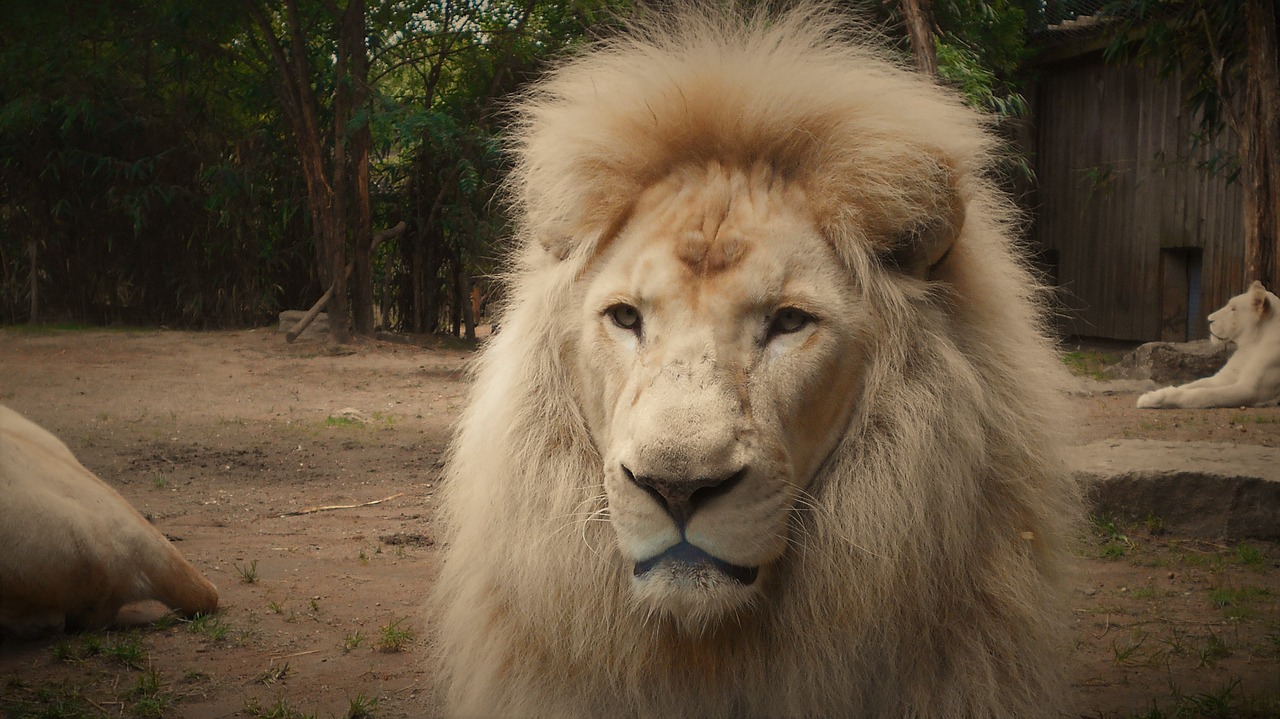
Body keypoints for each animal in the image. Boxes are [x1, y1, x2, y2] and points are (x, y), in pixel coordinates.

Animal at [1141, 282, 1280, 411]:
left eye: (1233, 309)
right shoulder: (1221, 378)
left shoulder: (1250, 390)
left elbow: (1203, 393)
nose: (1209, 319)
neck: (1251, 344)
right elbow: (1191, 385)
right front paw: (1152, 396)